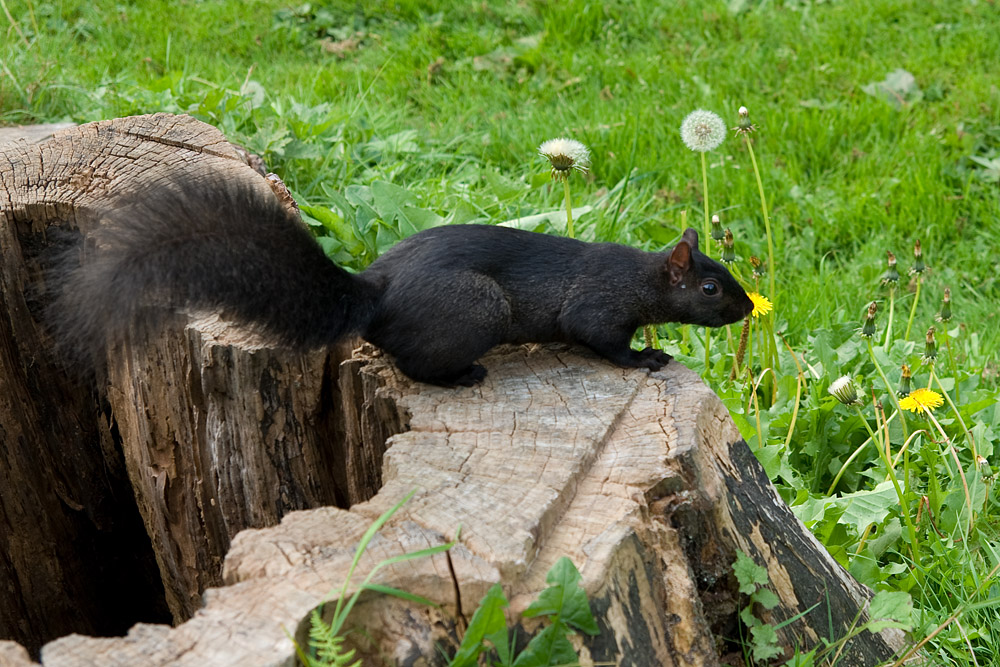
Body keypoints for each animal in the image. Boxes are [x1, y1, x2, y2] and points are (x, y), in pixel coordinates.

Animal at [47, 176, 752, 386]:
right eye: (711, 289)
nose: (749, 309)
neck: (640, 273)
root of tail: (375, 293)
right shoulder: (597, 304)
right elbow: (599, 339)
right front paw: (646, 359)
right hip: (478, 309)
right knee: (414, 363)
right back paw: (463, 375)